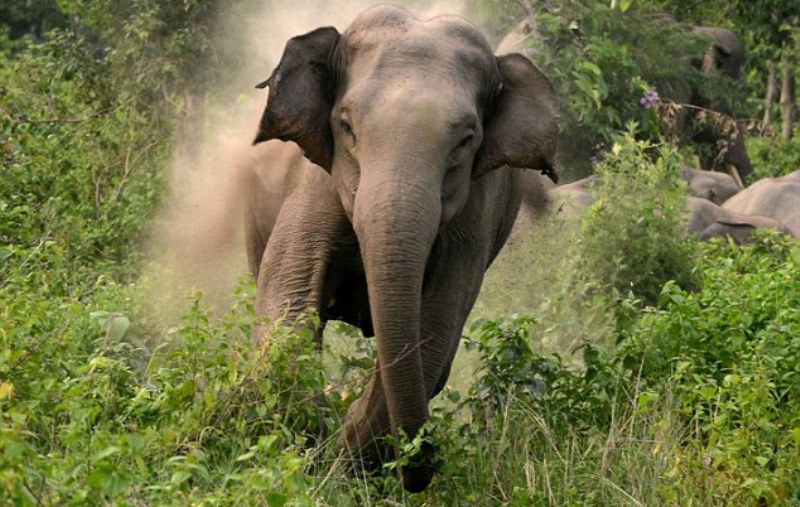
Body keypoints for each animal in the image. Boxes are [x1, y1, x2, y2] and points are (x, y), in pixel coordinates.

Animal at [247, 5, 560, 494]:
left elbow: (434, 331)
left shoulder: (474, 218)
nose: (420, 472)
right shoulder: (315, 183)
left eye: (466, 139)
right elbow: (288, 301)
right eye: (346, 126)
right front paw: (310, 447)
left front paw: (346, 465)